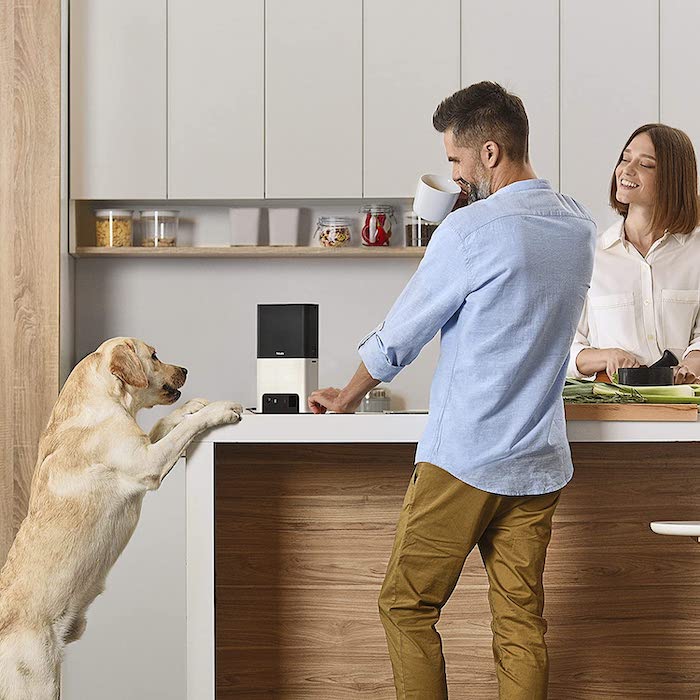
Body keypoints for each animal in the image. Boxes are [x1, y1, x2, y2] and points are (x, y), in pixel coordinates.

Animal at [0, 336, 242, 696]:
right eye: (154, 356)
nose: (185, 369)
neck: (105, 398)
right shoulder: (148, 463)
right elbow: (182, 429)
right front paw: (217, 409)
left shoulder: (145, 445)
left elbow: (164, 423)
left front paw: (193, 405)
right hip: (39, 680)